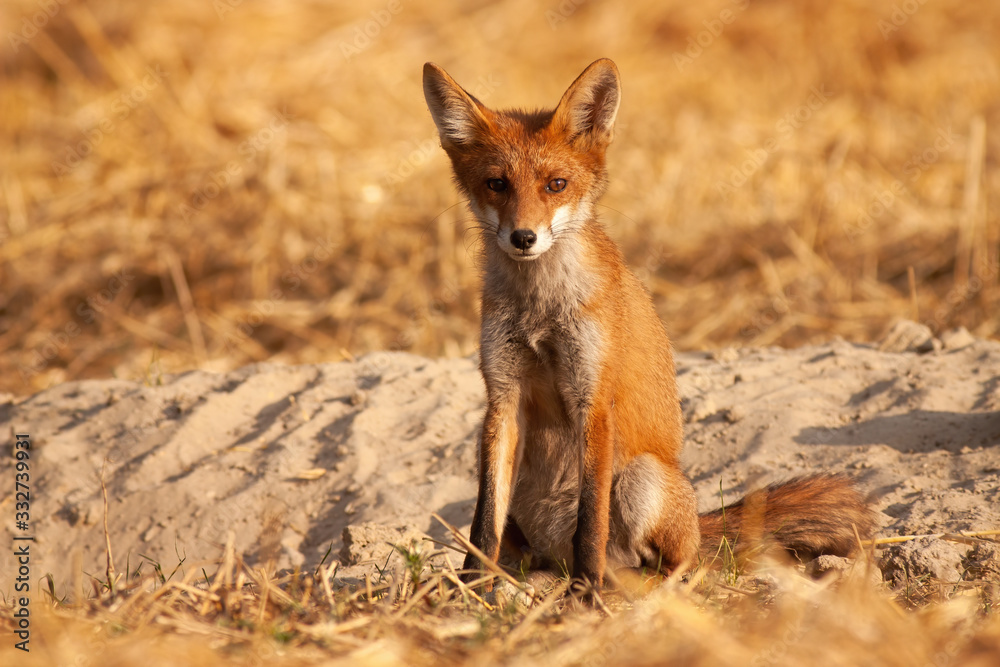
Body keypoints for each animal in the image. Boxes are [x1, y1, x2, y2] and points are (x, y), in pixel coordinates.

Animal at [422, 58, 875, 590]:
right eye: (497, 184)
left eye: (556, 185)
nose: (524, 237)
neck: (541, 309)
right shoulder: (503, 398)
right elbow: (483, 521)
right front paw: (469, 589)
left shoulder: (594, 397)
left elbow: (590, 522)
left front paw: (586, 595)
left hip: (644, 478)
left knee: (675, 563)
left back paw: (628, 587)